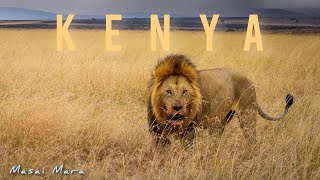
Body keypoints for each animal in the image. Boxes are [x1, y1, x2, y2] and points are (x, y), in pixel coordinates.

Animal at [148, 54, 292, 147]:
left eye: (185, 91)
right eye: (168, 91)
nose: (178, 108)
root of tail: (249, 81)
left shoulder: (189, 132)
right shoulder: (157, 133)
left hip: (247, 117)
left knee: (252, 140)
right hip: (220, 122)